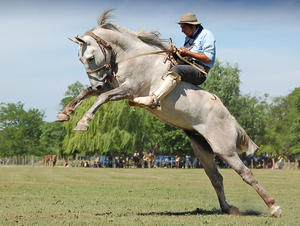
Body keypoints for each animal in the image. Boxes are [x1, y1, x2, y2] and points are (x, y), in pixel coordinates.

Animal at [55, 9, 282, 216]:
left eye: (90, 57)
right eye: (80, 58)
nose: (99, 82)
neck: (135, 56)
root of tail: (231, 119)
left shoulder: (129, 89)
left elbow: (101, 98)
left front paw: (83, 122)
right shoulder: (113, 85)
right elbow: (87, 92)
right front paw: (65, 113)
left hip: (225, 150)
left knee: (246, 173)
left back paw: (274, 207)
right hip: (203, 150)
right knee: (216, 178)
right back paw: (228, 208)